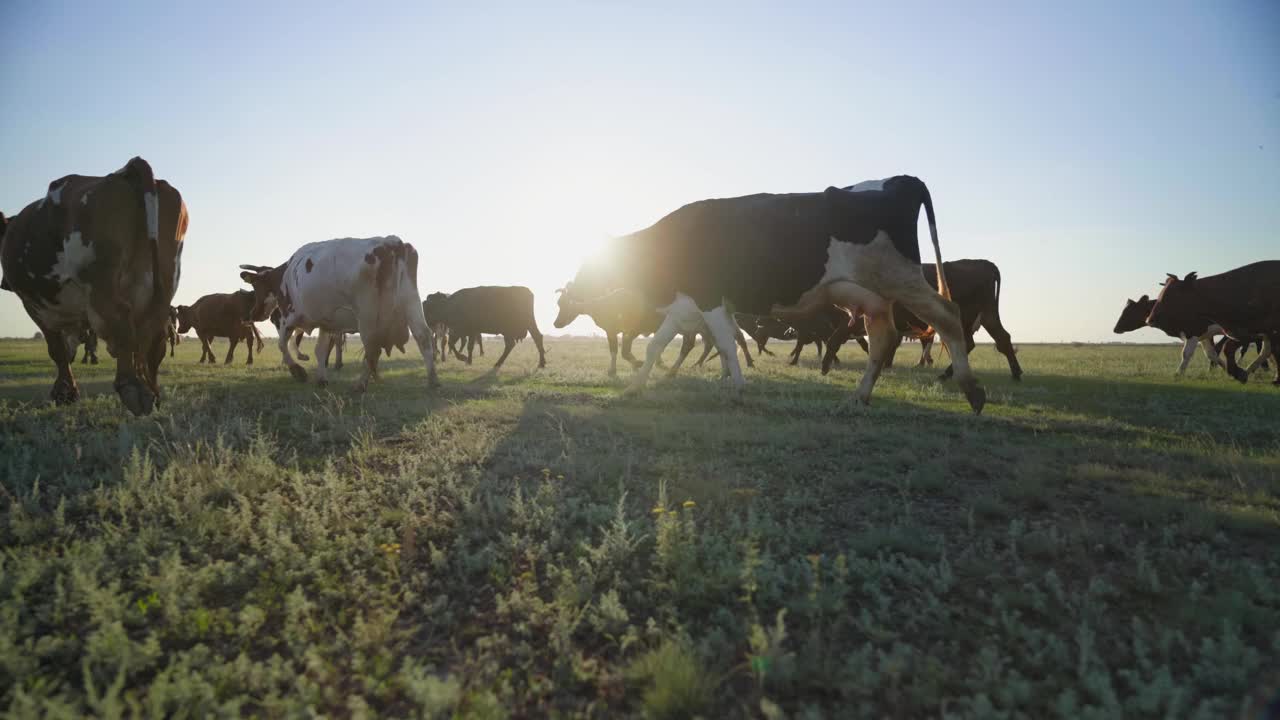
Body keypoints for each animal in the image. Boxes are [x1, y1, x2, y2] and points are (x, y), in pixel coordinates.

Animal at [0, 156, 186, 415]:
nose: (3, 284)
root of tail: (125, 171)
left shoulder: (34, 305)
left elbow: (57, 349)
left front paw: (65, 392)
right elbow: (70, 348)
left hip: (99, 284)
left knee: (121, 321)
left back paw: (132, 388)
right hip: (164, 280)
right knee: (151, 337)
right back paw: (152, 391)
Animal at [240, 234, 440, 392]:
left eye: (255, 286)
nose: (253, 314)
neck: (287, 273)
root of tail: (392, 242)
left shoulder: (290, 315)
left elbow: (282, 344)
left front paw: (298, 372)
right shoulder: (326, 322)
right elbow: (320, 350)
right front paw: (321, 379)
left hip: (367, 315)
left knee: (373, 348)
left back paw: (360, 384)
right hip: (411, 302)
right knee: (423, 336)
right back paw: (432, 380)